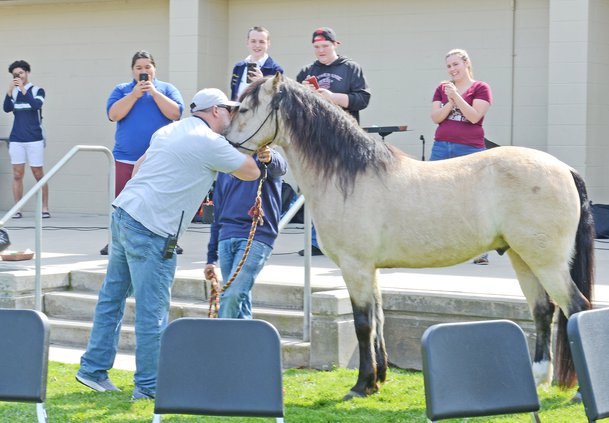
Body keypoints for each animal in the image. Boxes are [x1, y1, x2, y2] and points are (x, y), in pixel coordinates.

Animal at [223, 73, 592, 400]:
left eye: (245, 108)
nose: (226, 144)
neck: (351, 174)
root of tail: (564, 168)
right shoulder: (369, 270)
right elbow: (378, 320)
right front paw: (378, 381)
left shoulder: (355, 267)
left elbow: (362, 324)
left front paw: (361, 385)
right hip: (522, 257)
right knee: (544, 311)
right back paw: (539, 377)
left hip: (547, 262)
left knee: (577, 307)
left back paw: (577, 394)